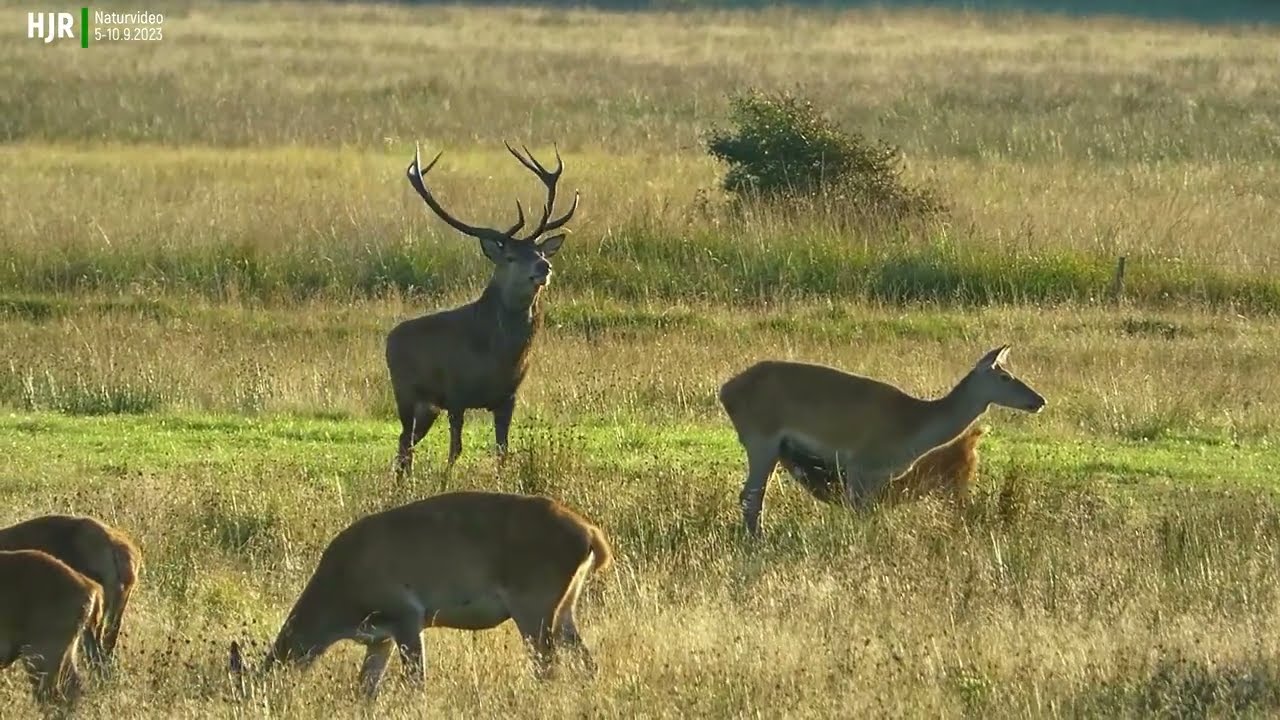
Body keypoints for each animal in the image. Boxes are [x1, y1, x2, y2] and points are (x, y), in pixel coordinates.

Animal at [228, 490, 613, 700]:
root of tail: (590, 533)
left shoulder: (407, 617)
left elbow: (416, 681)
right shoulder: (378, 638)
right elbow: (365, 689)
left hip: (533, 608)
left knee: (547, 667)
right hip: (564, 609)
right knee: (587, 662)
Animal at [387, 142, 579, 479]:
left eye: (539, 251)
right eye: (511, 256)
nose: (544, 267)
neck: (497, 356)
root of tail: (388, 338)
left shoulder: (508, 397)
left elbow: (503, 450)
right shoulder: (455, 393)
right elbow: (455, 449)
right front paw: (447, 480)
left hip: (427, 407)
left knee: (403, 443)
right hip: (406, 392)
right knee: (405, 443)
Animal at [719, 345, 1045, 536]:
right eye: (1004, 376)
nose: (1039, 400)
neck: (913, 425)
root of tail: (726, 390)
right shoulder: (859, 470)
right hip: (762, 444)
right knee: (751, 497)